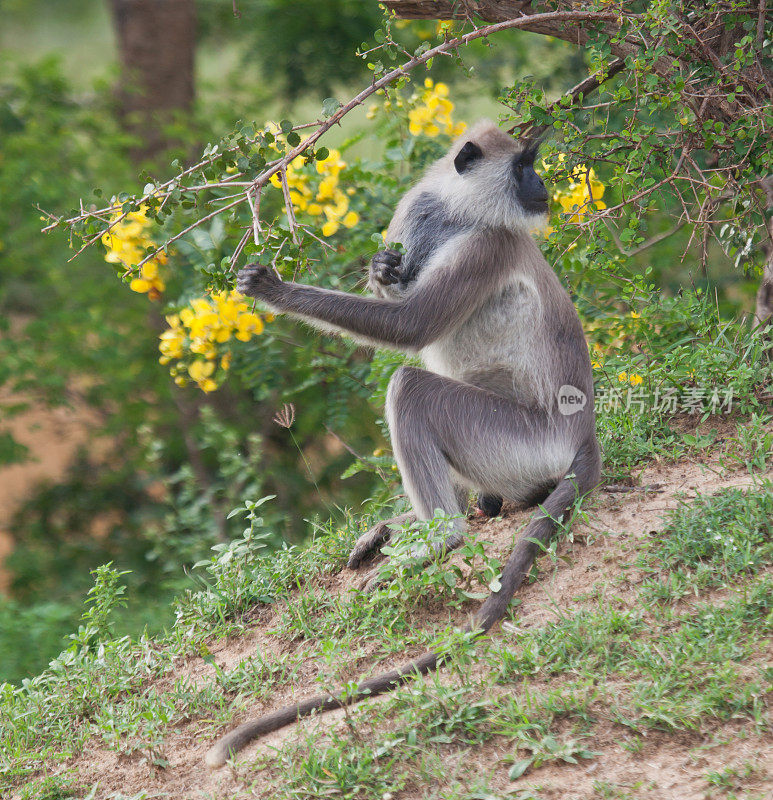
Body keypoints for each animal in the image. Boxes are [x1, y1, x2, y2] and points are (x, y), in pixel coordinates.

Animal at [204, 119, 596, 768]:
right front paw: (382, 269)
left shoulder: (486, 245)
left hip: (518, 441)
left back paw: (441, 537)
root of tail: (582, 436)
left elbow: (409, 328)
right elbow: (399, 289)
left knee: (410, 386)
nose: (542, 188)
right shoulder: (414, 216)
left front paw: (272, 290)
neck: (458, 213)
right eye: (524, 167)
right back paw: (414, 524)